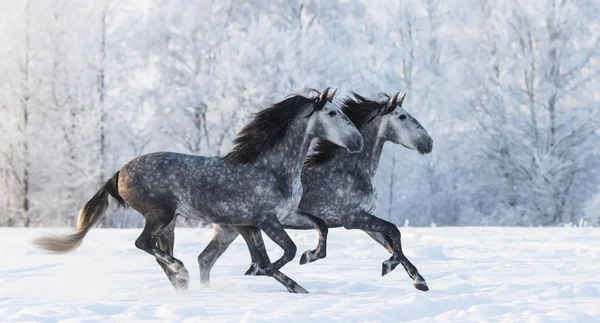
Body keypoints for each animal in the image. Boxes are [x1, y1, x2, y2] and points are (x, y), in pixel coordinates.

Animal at [35, 88, 364, 294]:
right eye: (332, 113)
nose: (358, 141)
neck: (272, 168)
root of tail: (119, 173)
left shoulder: (282, 216)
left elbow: (320, 227)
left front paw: (309, 259)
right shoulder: (266, 220)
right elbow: (281, 254)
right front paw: (282, 276)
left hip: (168, 223)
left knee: (159, 252)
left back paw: (183, 283)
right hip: (160, 215)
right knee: (144, 244)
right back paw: (181, 271)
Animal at [199, 92, 434, 292]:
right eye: (402, 117)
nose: (429, 143)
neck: (349, 170)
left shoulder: (365, 222)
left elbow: (392, 244)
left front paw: (419, 281)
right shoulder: (355, 218)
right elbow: (395, 232)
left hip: (229, 230)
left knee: (206, 260)